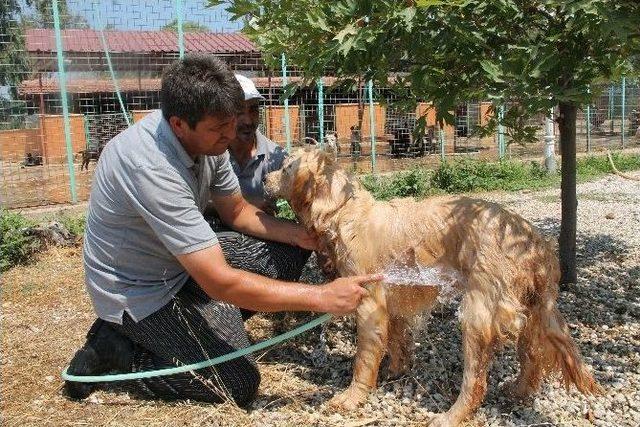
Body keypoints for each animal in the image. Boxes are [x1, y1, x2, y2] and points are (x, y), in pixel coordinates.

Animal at [264, 149, 600, 426]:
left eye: (285, 168)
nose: (264, 179)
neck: (344, 211)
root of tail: (534, 241)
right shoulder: (394, 302)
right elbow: (397, 342)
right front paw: (395, 371)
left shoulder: (370, 303)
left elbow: (363, 360)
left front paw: (352, 397)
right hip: (532, 309)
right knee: (531, 357)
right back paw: (517, 391)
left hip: (478, 313)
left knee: (476, 381)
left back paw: (452, 415)